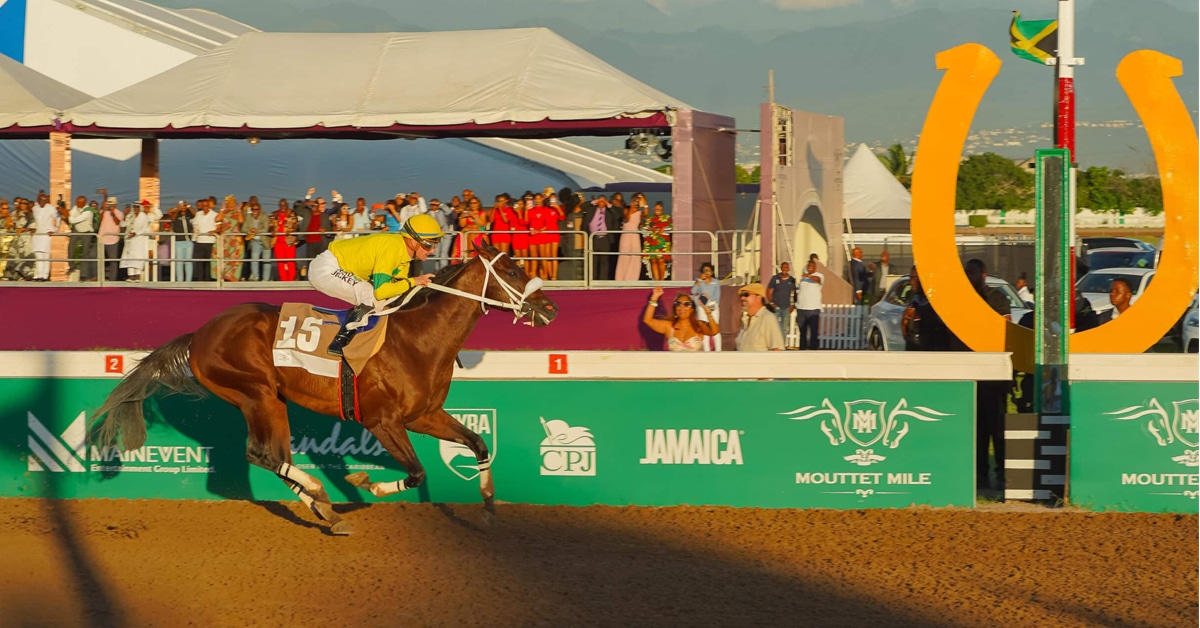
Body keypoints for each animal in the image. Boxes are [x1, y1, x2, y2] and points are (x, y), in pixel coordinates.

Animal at [89, 242, 557, 535]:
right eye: (513, 270)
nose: (550, 308)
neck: (418, 339)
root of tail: (200, 333)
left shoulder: (424, 415)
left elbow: (478, 443)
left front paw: (490, 508)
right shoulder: (383, 421)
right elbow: (416, 471)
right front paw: (366, 481)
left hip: (273, 400)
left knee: (275, 456)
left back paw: (327, 511)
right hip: (255, 393)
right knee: (260, 454)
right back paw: (318, 493)